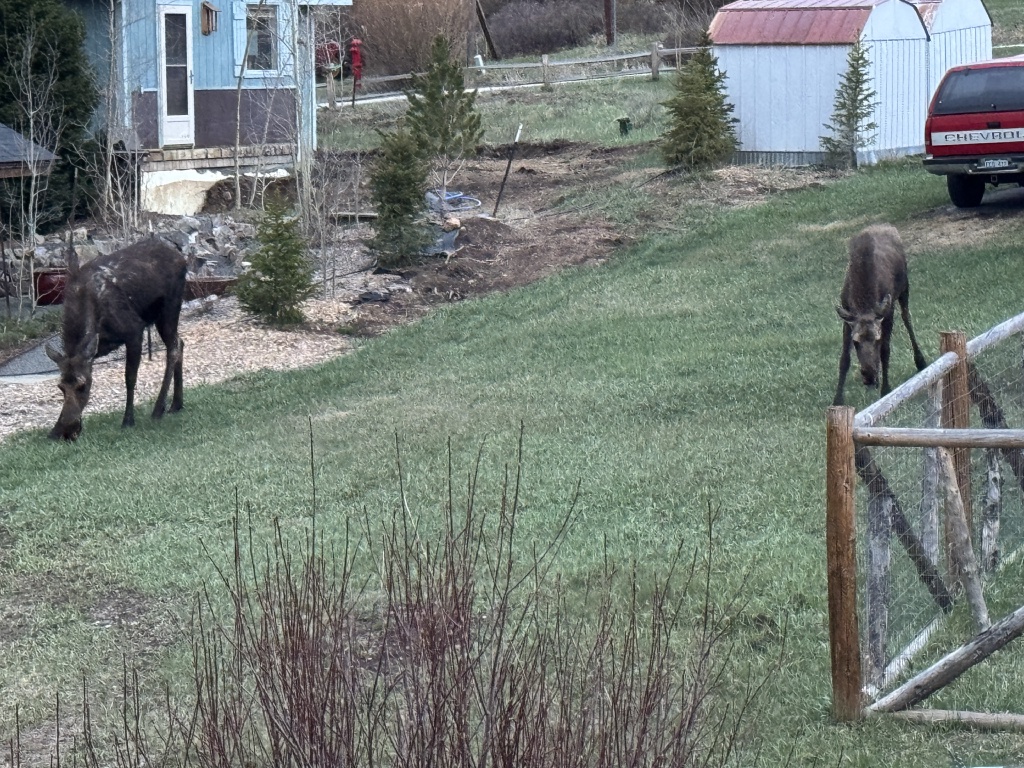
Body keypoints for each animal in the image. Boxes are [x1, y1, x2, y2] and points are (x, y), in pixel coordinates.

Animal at [46, 238, 187, 441]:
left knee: (173, 348)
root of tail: (181, 257)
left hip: (169, 307)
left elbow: (130, 378)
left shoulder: (134, 330)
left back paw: (159, 408)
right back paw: (176, 403)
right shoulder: (95, 349)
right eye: (60, 387)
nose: (67, 432)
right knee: (180, 342)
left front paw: (128, 420)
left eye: (83, 386)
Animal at [833, 224, 928, 406]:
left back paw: (920, 360)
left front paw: (886, 390)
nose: (869, 376)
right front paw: (837, 399)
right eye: (856, 342)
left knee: (907, 317)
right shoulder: (847, 317)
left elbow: (885, 350)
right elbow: (844, 358)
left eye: (877, 339)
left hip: (904, 289)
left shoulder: (888, 312)